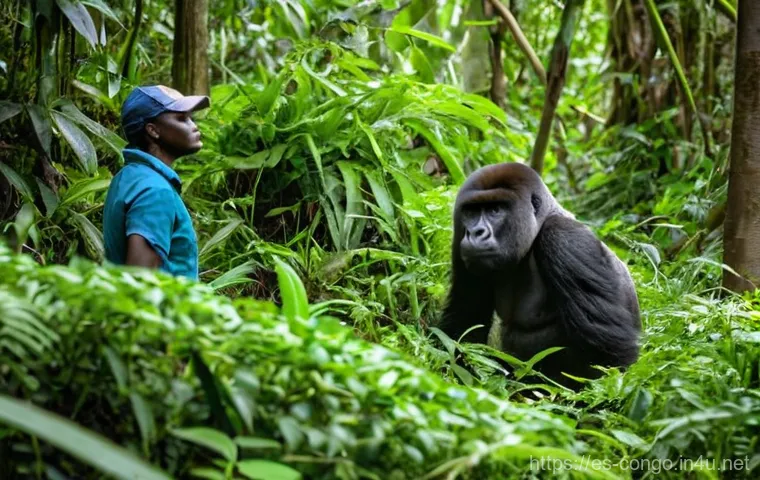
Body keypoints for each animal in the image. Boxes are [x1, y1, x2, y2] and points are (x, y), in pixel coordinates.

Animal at [439, 162, 641, 389]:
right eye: (471, 212)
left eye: (495, 210)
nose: (475, 233)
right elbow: (465, 320)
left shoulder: (564, 237)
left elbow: (604, 357)